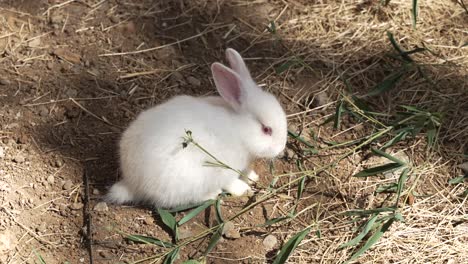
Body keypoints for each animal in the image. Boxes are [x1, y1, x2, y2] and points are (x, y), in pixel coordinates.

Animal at [107, 47, 288, 208]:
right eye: (266, 129)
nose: (281, 148)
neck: (240, 130)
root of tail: (131, 182)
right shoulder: (225, 170)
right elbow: (230, 182)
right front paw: (243, 188)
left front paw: (252, 176)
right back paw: (212, 194)